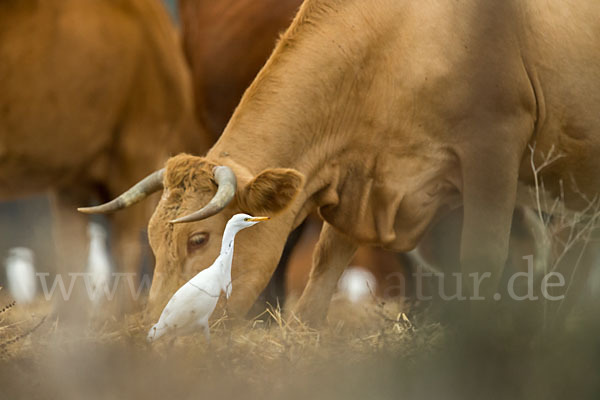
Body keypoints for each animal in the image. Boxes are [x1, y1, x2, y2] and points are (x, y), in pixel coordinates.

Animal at [85, 0, 600, 326]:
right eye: (154, 240)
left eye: (199, 239)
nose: (154, 327)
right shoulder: (362, 184)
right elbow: (317, 284)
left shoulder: (493, 154)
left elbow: (483, 261)